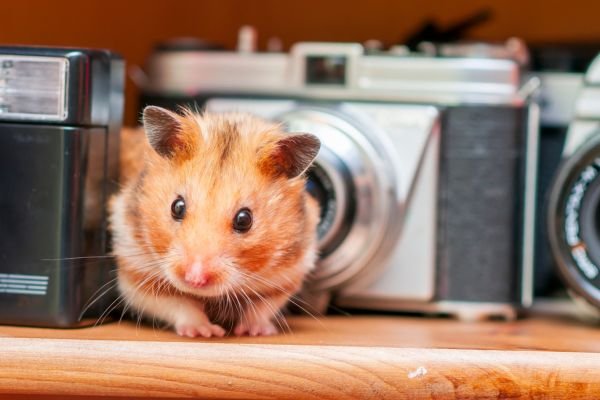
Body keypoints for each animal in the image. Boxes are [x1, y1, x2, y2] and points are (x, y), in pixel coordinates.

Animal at [109, 107, 322, 338]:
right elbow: (179, 305)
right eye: (177, 207)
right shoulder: (135, 273)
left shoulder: (287, 277)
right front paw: (206, 332)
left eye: (244, 219)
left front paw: (252, 331)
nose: (194, 279)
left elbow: (261, 308)